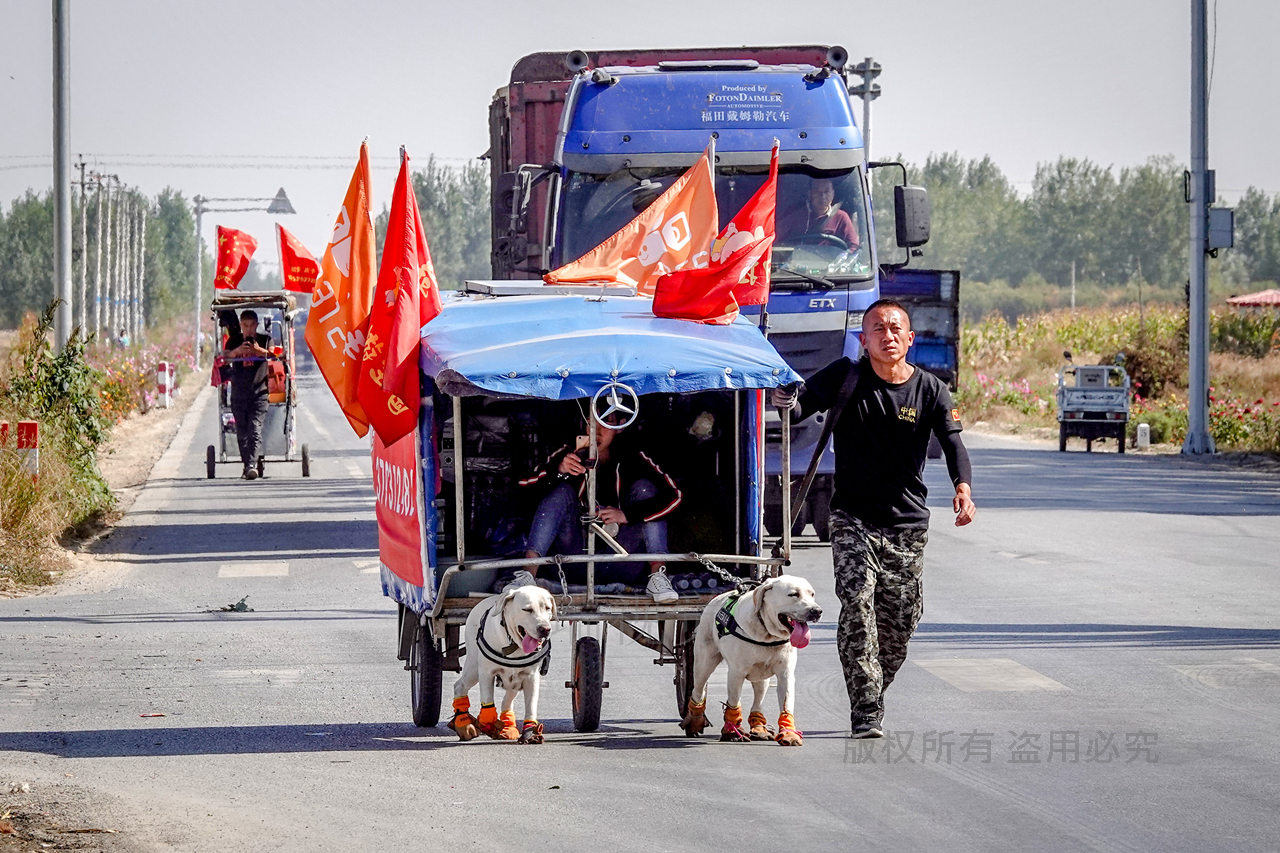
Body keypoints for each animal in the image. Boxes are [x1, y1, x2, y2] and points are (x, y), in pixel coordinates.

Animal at [448, 581, 552, 742]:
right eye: (527, 609)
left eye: (547, 608)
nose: (545, 629)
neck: (514, 645)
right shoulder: (486, 673)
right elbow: (487, 702)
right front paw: (487, 722)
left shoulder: (531, 677)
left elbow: (531, 705)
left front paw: (530, 732)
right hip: (473, 667)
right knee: (460, 686)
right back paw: (464, 724)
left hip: (514, 681)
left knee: (507, 699)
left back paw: (508, 725)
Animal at [680, 571, 819, 742]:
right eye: (793, 594)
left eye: (812, 594)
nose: (817, 611)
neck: (767, 635)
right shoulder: (736, 673)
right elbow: (733, 702)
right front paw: (731, 730)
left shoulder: (785, 674)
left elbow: (786, 704)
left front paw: (789, 732)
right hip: (704, 662)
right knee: (698, 689)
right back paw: (695, 718)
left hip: (761, 676)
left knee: (758, 698)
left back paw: (758, 726)